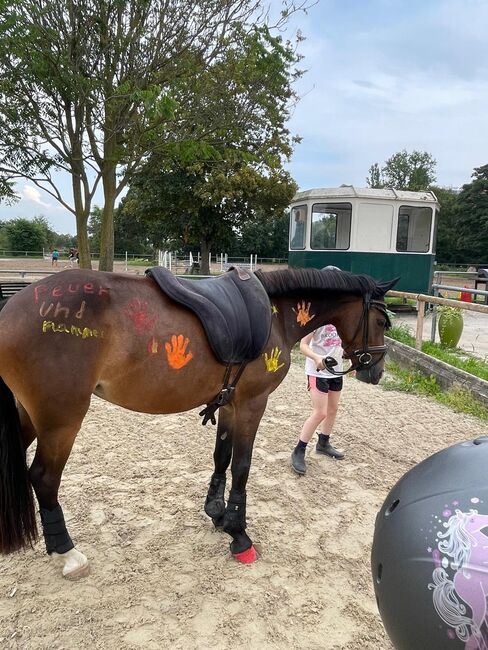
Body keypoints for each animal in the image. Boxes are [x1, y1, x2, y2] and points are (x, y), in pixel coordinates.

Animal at [0, 264, 394, 576]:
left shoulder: (230, 403)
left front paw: (217, 513)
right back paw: (66, 552)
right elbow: (242, 466)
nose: (376, 370)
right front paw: (239, 533)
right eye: (380, 321)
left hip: (31, 414)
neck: (275, 314)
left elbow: (222, 457)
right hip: (61, 419)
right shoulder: (253, 404)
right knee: (44, 478)